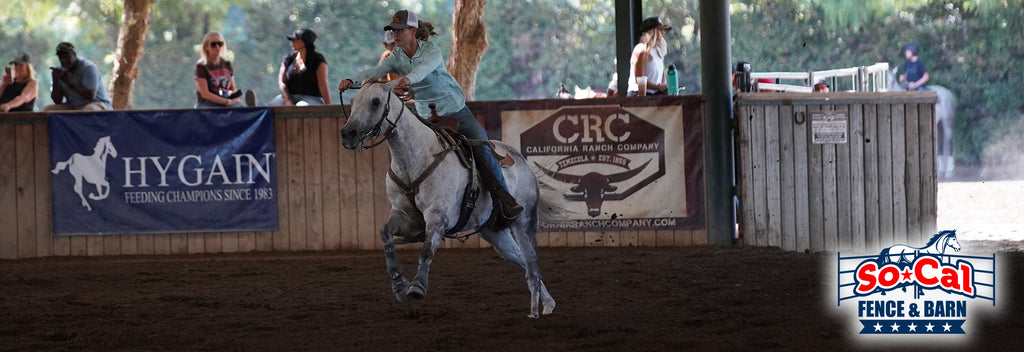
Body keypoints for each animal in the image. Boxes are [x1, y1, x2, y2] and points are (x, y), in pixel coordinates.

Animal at [339, 79, 557, 319]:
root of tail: (523, 162)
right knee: (522, 262)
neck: (414, 160)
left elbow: (426, 251)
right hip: (496, 235)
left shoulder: (438, 216)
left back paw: (536, 311)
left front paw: (417, 287)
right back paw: (548, 304)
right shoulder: (405, 215)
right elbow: (385, 234)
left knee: (532, 266)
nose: (348, 133)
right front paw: (398, 284)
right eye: (352, 101)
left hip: (525, 223)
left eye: (376, 101)